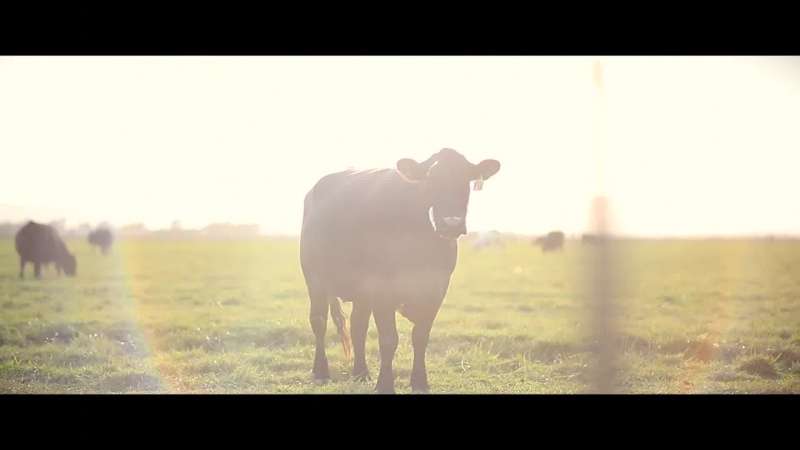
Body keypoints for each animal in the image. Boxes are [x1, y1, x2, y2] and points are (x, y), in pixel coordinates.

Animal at [300, 148, 500, 393]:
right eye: (430, 180)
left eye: (466, 180)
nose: (451, 223)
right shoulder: (382, 289)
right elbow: (389, 339)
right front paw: (385, 384)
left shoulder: (436, 288)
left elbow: (420, 336)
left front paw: (420, 382)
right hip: (314, 278)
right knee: (319, 320)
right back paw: (321, 372)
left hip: (361, 292)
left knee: (358, 325)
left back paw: (361, 373)